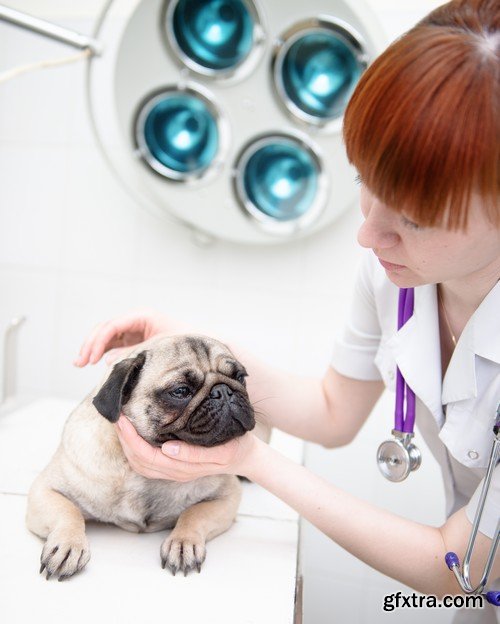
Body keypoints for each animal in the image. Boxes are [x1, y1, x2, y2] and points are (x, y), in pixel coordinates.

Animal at [25, 334, 256, 584]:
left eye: (240, 377)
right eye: (181, 391)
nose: (223, 391)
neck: (142, 476)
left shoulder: (227, 496)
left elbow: (194, 514)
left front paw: (183, 542)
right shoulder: (45, 491)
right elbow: (69, 513)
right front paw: (69, 544)